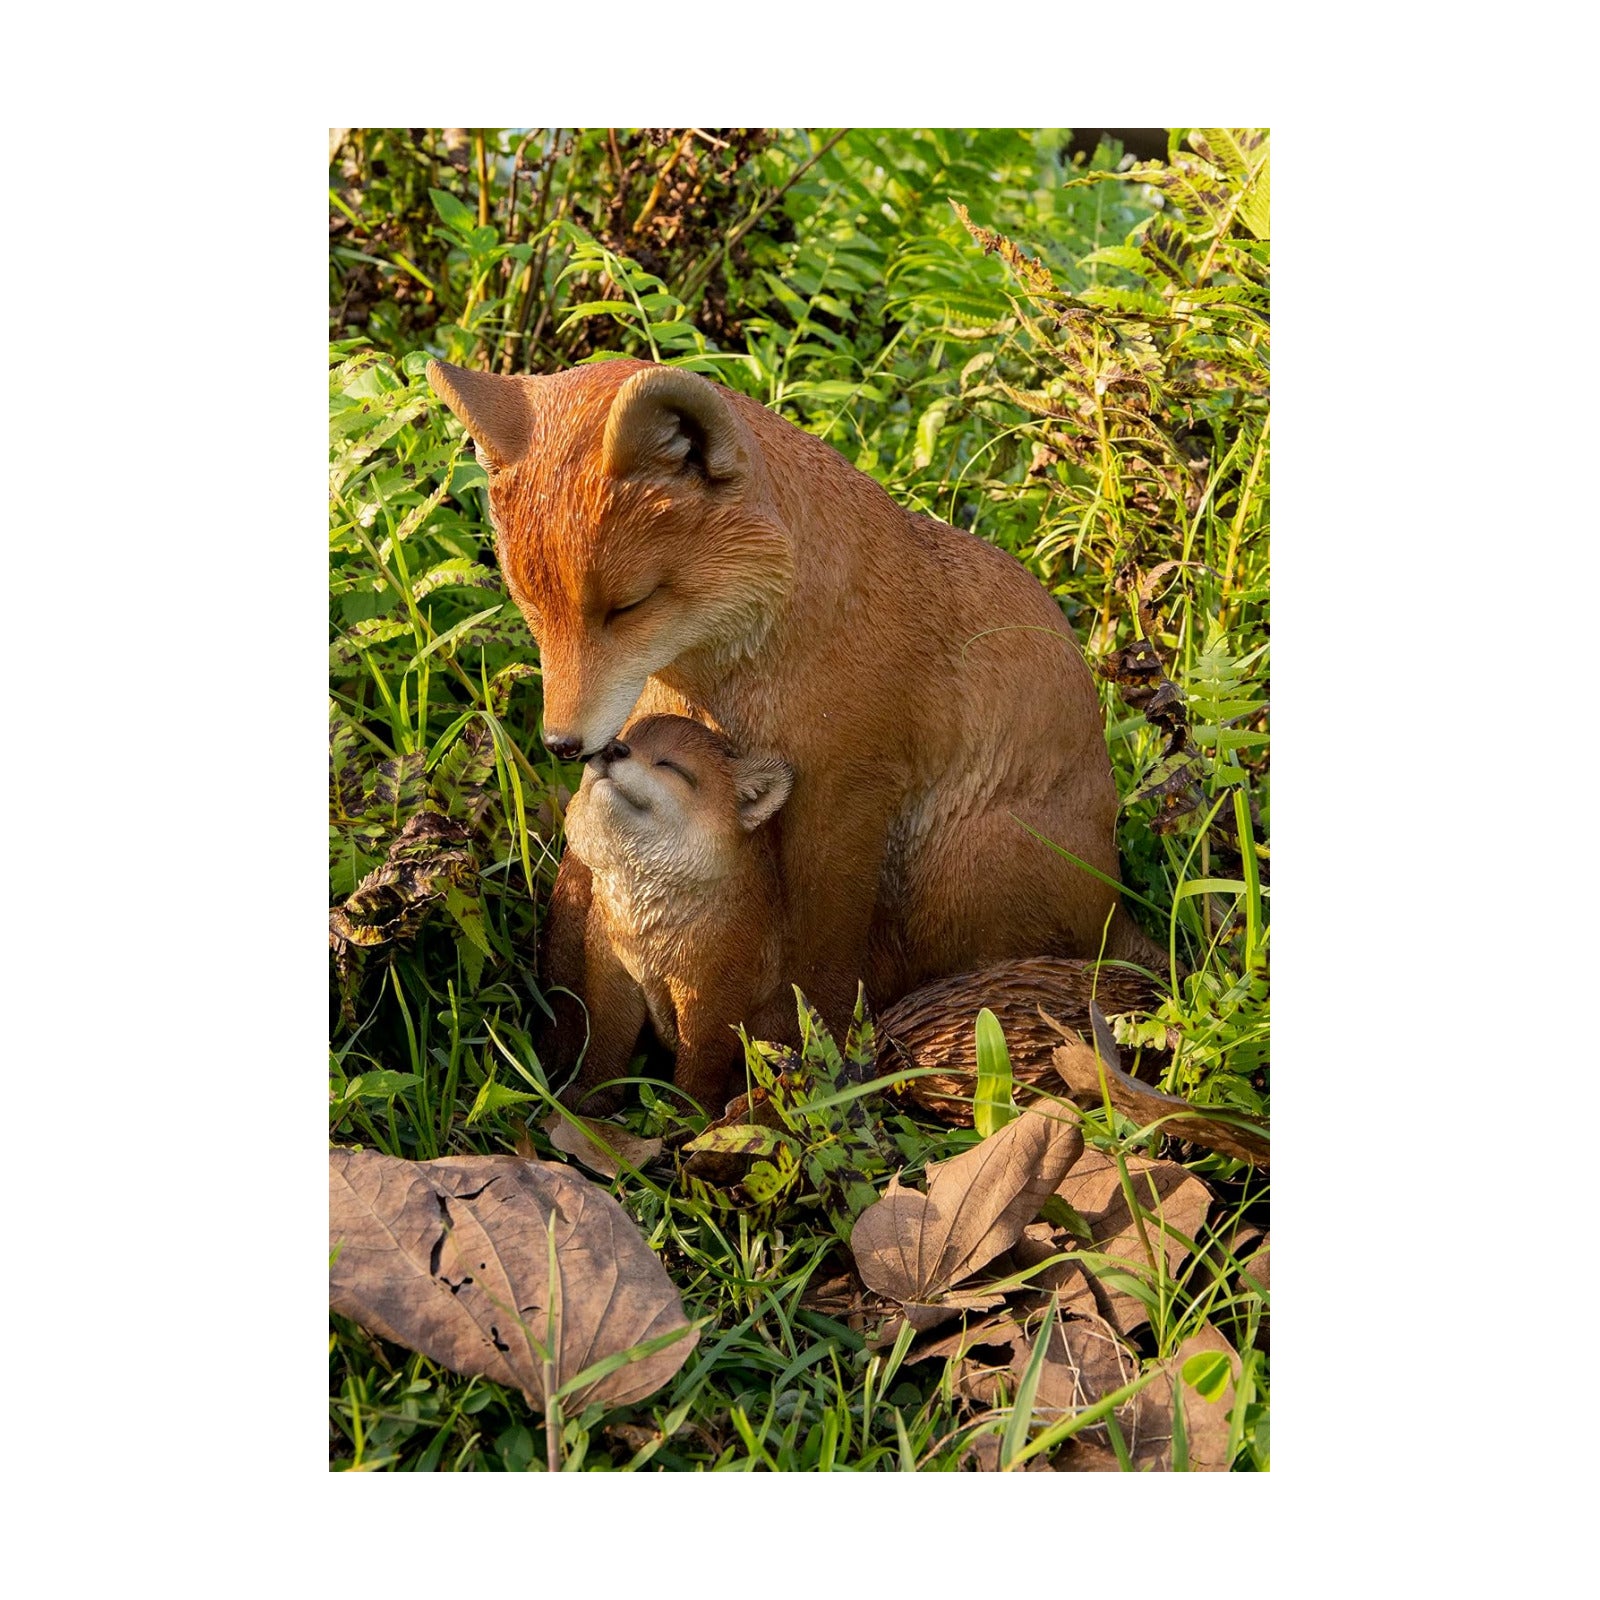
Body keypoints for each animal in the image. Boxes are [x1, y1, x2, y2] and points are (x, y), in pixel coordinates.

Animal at [427, 356, 1160, 1057]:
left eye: (628, 607)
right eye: (531, 606)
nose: (563, 744)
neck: (739, 683)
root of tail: (1116, 896)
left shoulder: (846, 791)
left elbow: (822, 967)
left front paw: (815, 1068)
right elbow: (575, 916)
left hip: (959, 870)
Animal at [560, 713, 793, 1114]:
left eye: (670, 765)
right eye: (623, 737)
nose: (612, 749)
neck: (646, 939)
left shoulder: (710, 995)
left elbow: (701, 1066)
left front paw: (688, 1118)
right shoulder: (612, 974)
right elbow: (606, 1043)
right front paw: (594, 1097)